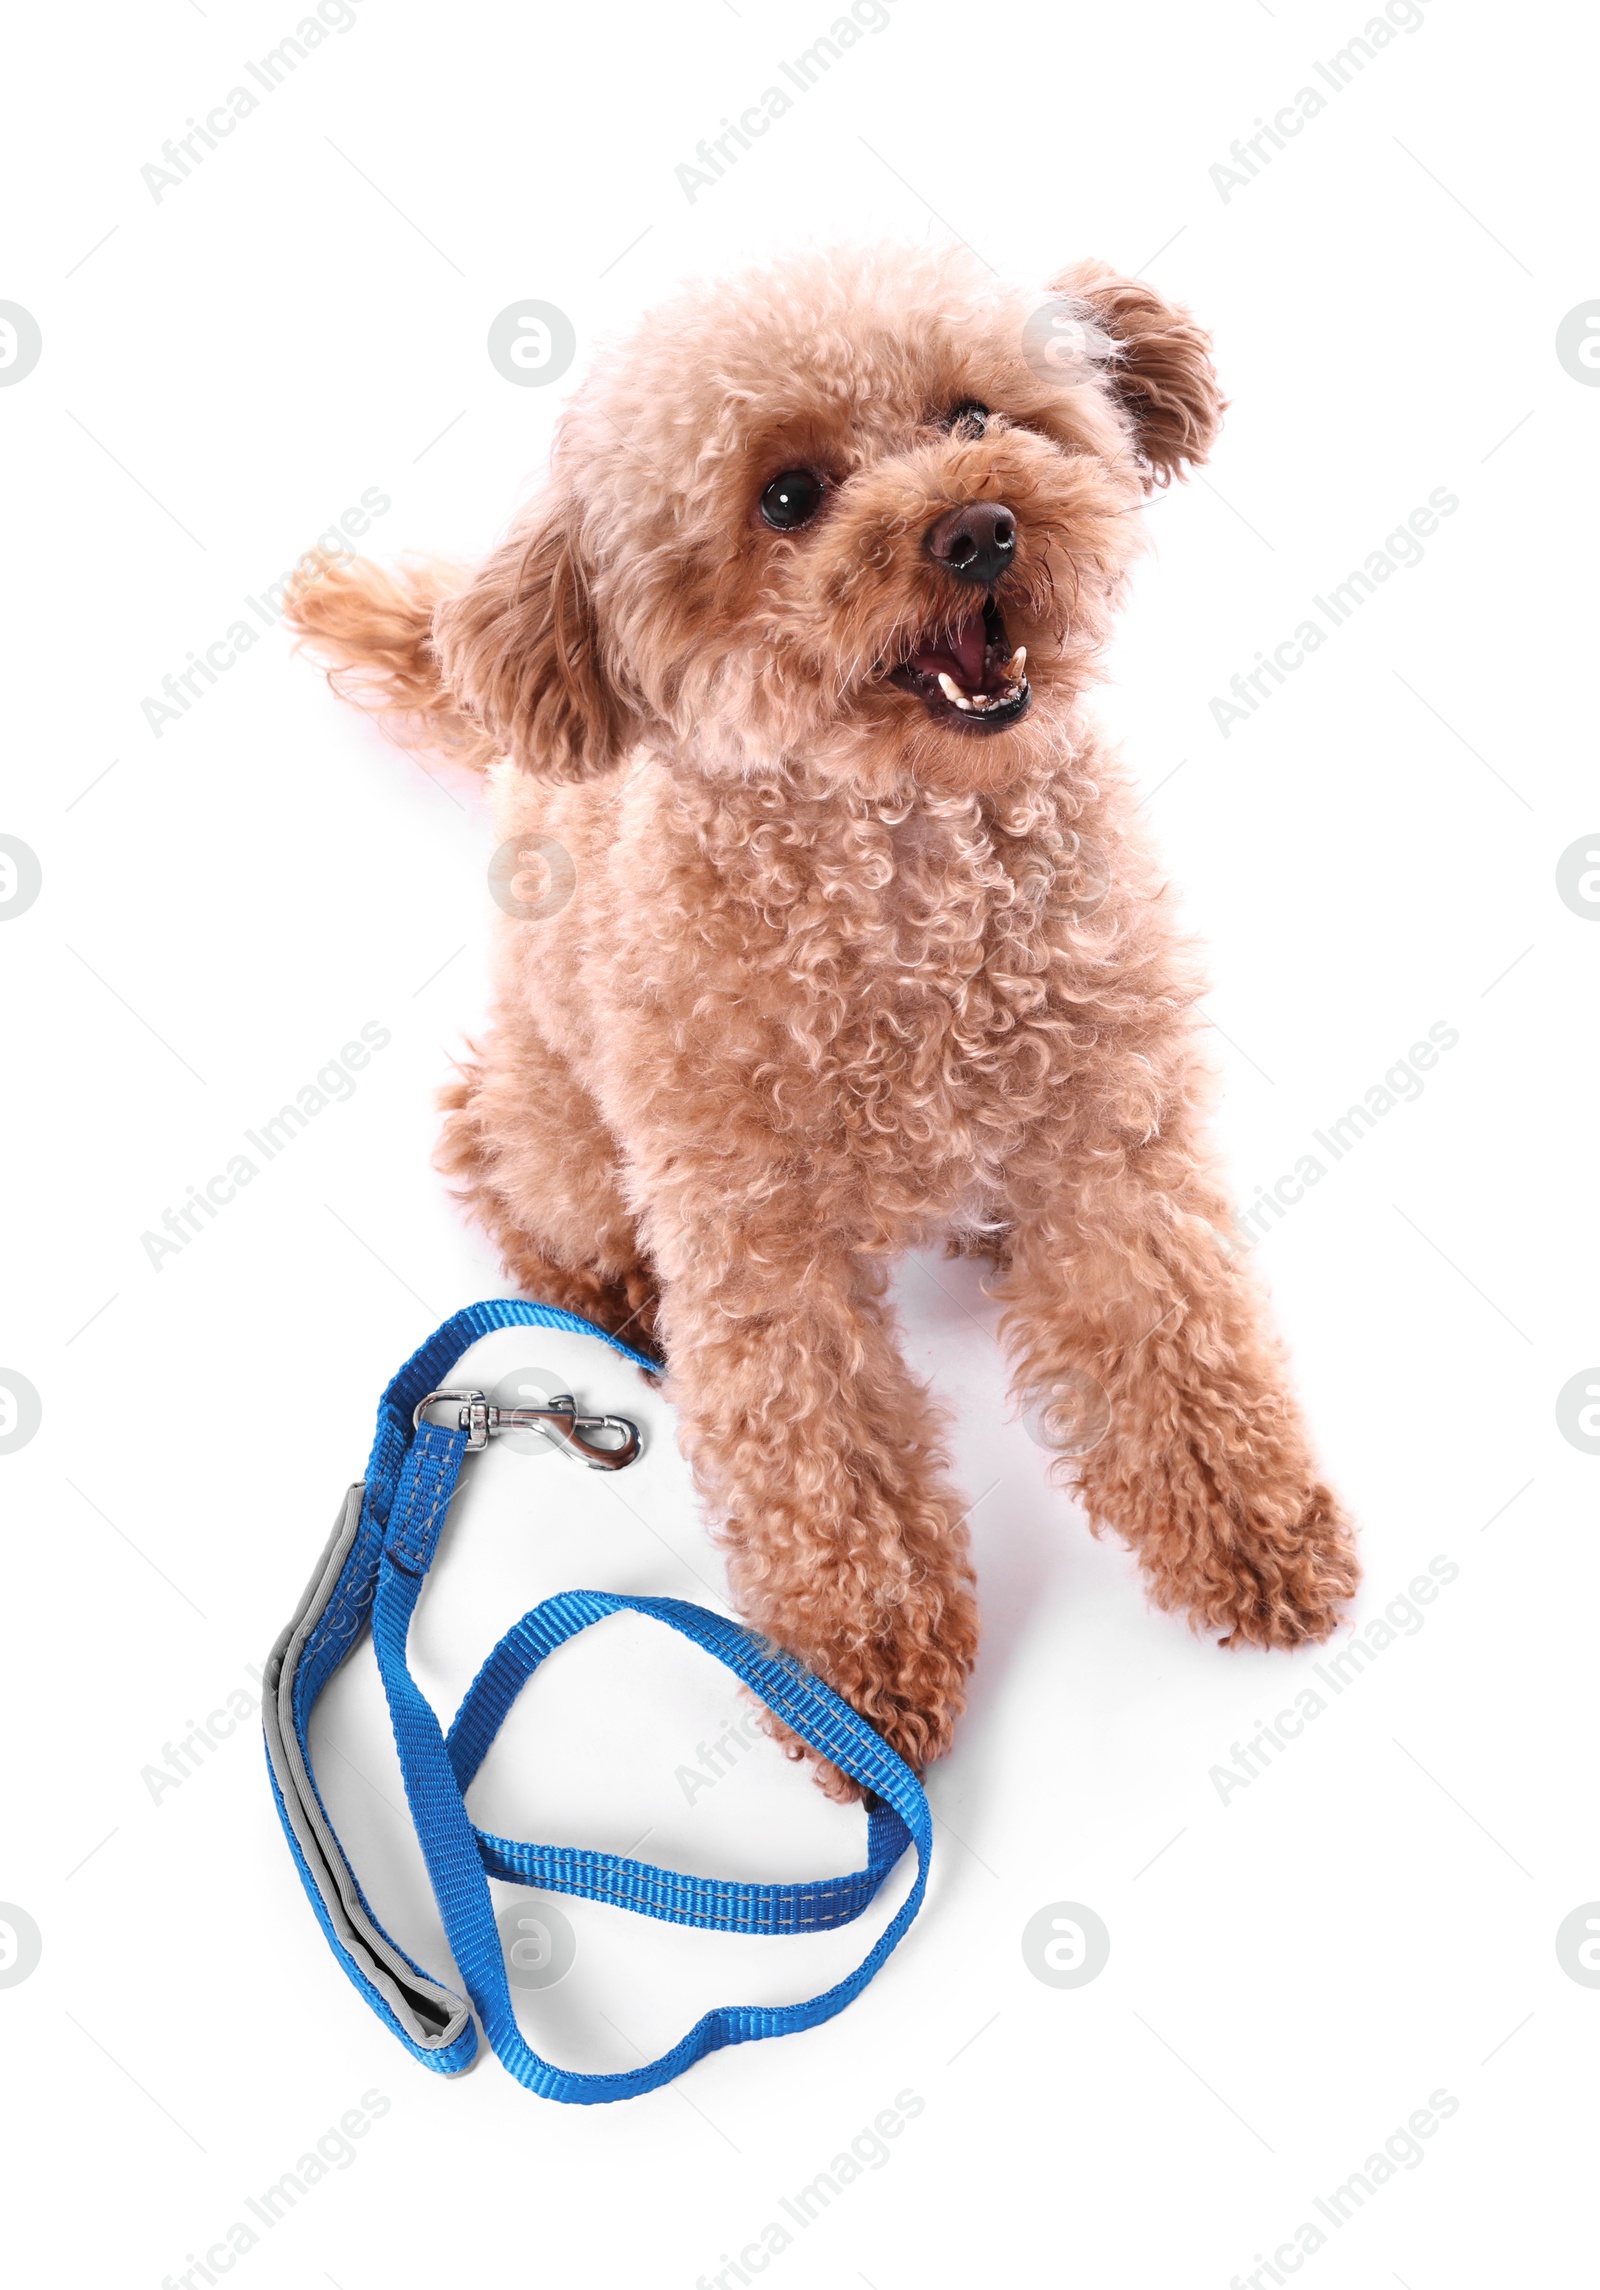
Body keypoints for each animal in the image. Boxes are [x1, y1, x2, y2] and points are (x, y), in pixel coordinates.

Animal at [284, 246, 1355, 1786]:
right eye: (787, 497)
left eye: (973, 414)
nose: (977, 527)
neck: (907, 862)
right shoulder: (756, 1239)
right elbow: (822, 1451)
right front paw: (858, 1681)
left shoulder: (1110, 1139)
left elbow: (1177, 1340)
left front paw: (1252, 1531)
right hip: (563, 1114)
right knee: (491, 1142)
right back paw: (603, 1283)